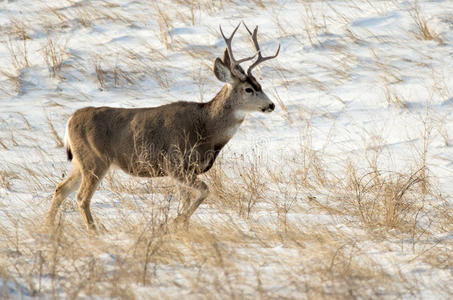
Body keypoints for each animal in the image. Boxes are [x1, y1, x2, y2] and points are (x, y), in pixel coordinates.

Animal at [46, 23, 278, 233]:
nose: (271, 105)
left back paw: (48, 225)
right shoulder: (175, 164)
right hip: (95, 160)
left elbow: (187, 199)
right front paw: (174, 222)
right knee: (81, 197)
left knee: (61, 189)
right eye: (248, 89)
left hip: (80, 161)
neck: (207, 129)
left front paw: (180, 225)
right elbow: (204, 191)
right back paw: (94, 230)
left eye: (260, 85)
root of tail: (70, 120)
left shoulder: (183, 171)